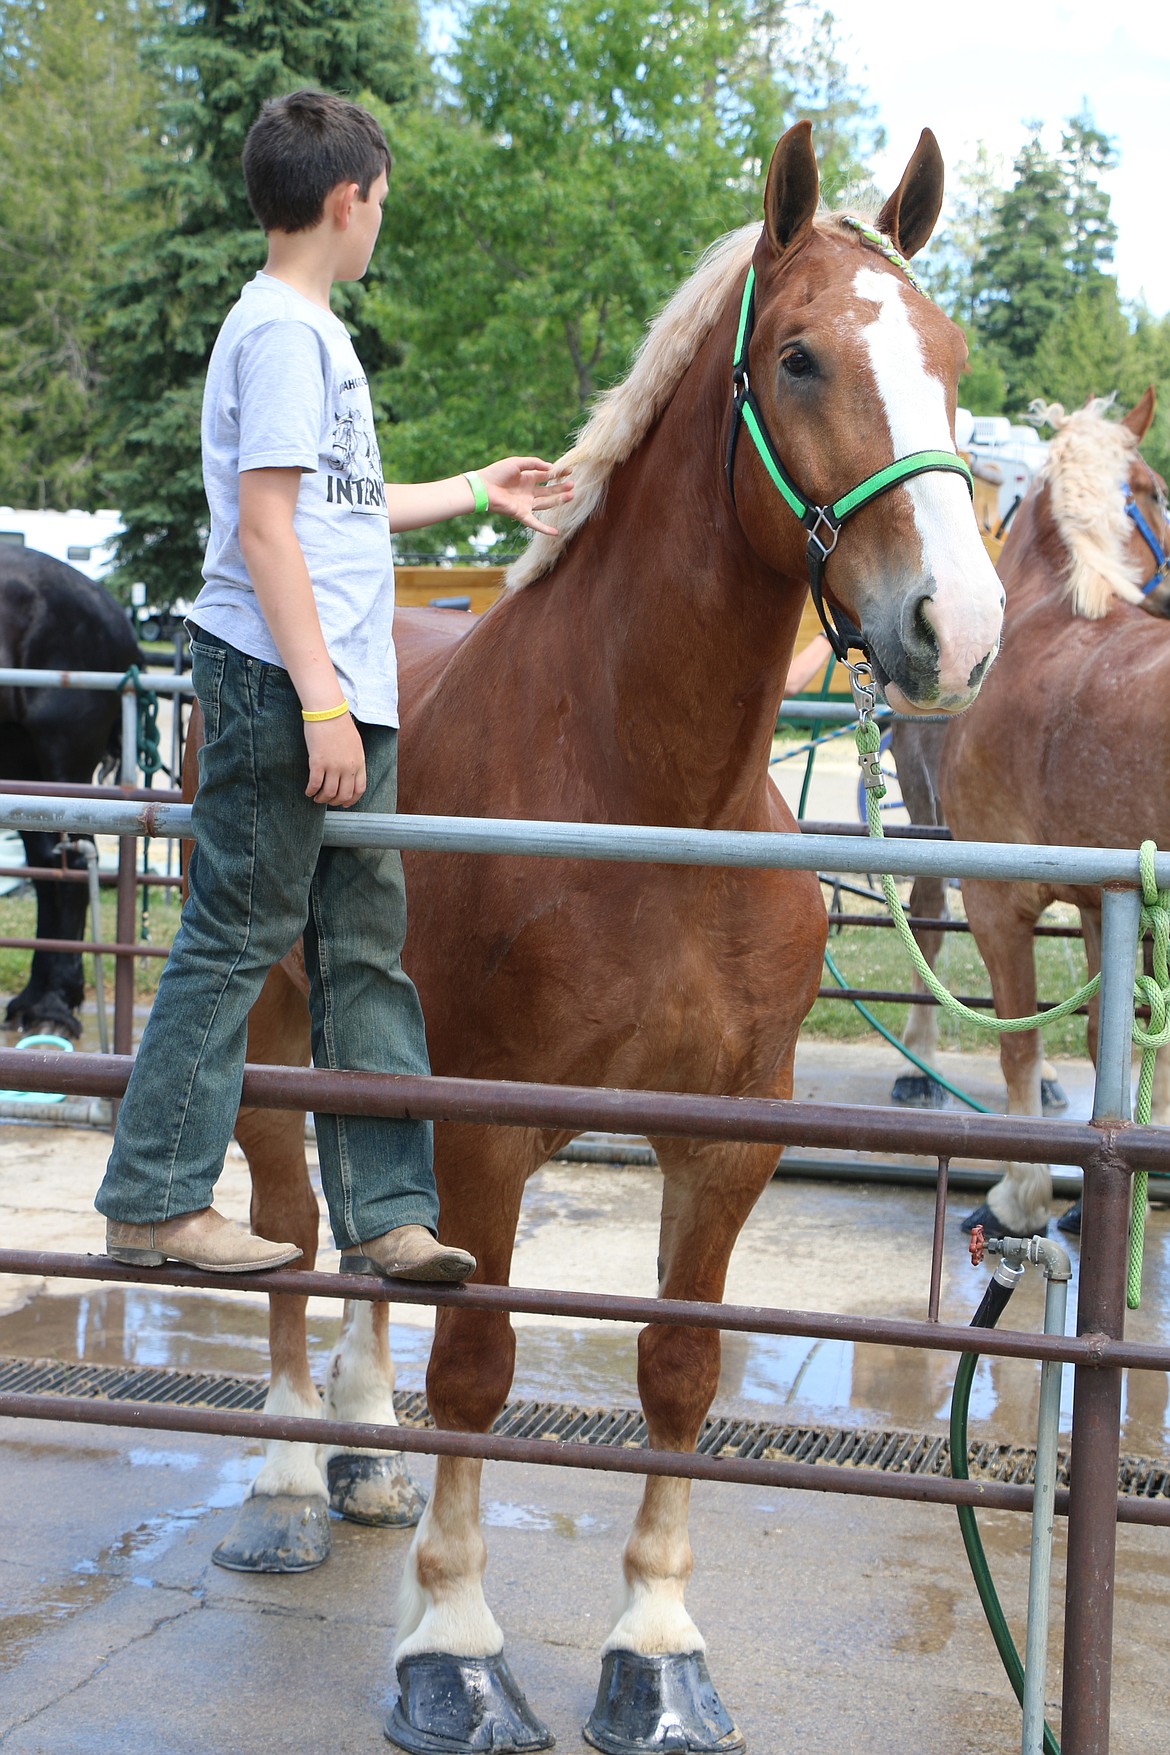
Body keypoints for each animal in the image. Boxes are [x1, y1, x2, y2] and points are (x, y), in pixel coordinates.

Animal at [203, 127, 1010, 1755]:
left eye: (951, 358)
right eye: (801, 357)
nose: (954, 628)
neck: (647, 793)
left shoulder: (727, 1134)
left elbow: (678, 1369)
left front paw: (657, 1645)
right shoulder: (489, 1124)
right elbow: (478, 1366)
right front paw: (451, 1646)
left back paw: (362, 1455)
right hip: (267, 1034)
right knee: (290, 1232)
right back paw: (287, 1480)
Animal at [887, 398, 1170, 1242]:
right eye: (1157, 489)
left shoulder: (996, 901)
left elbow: (1021, 1043)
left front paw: (1022, 1193)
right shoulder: (1105, 905)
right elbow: (1103, 1038)